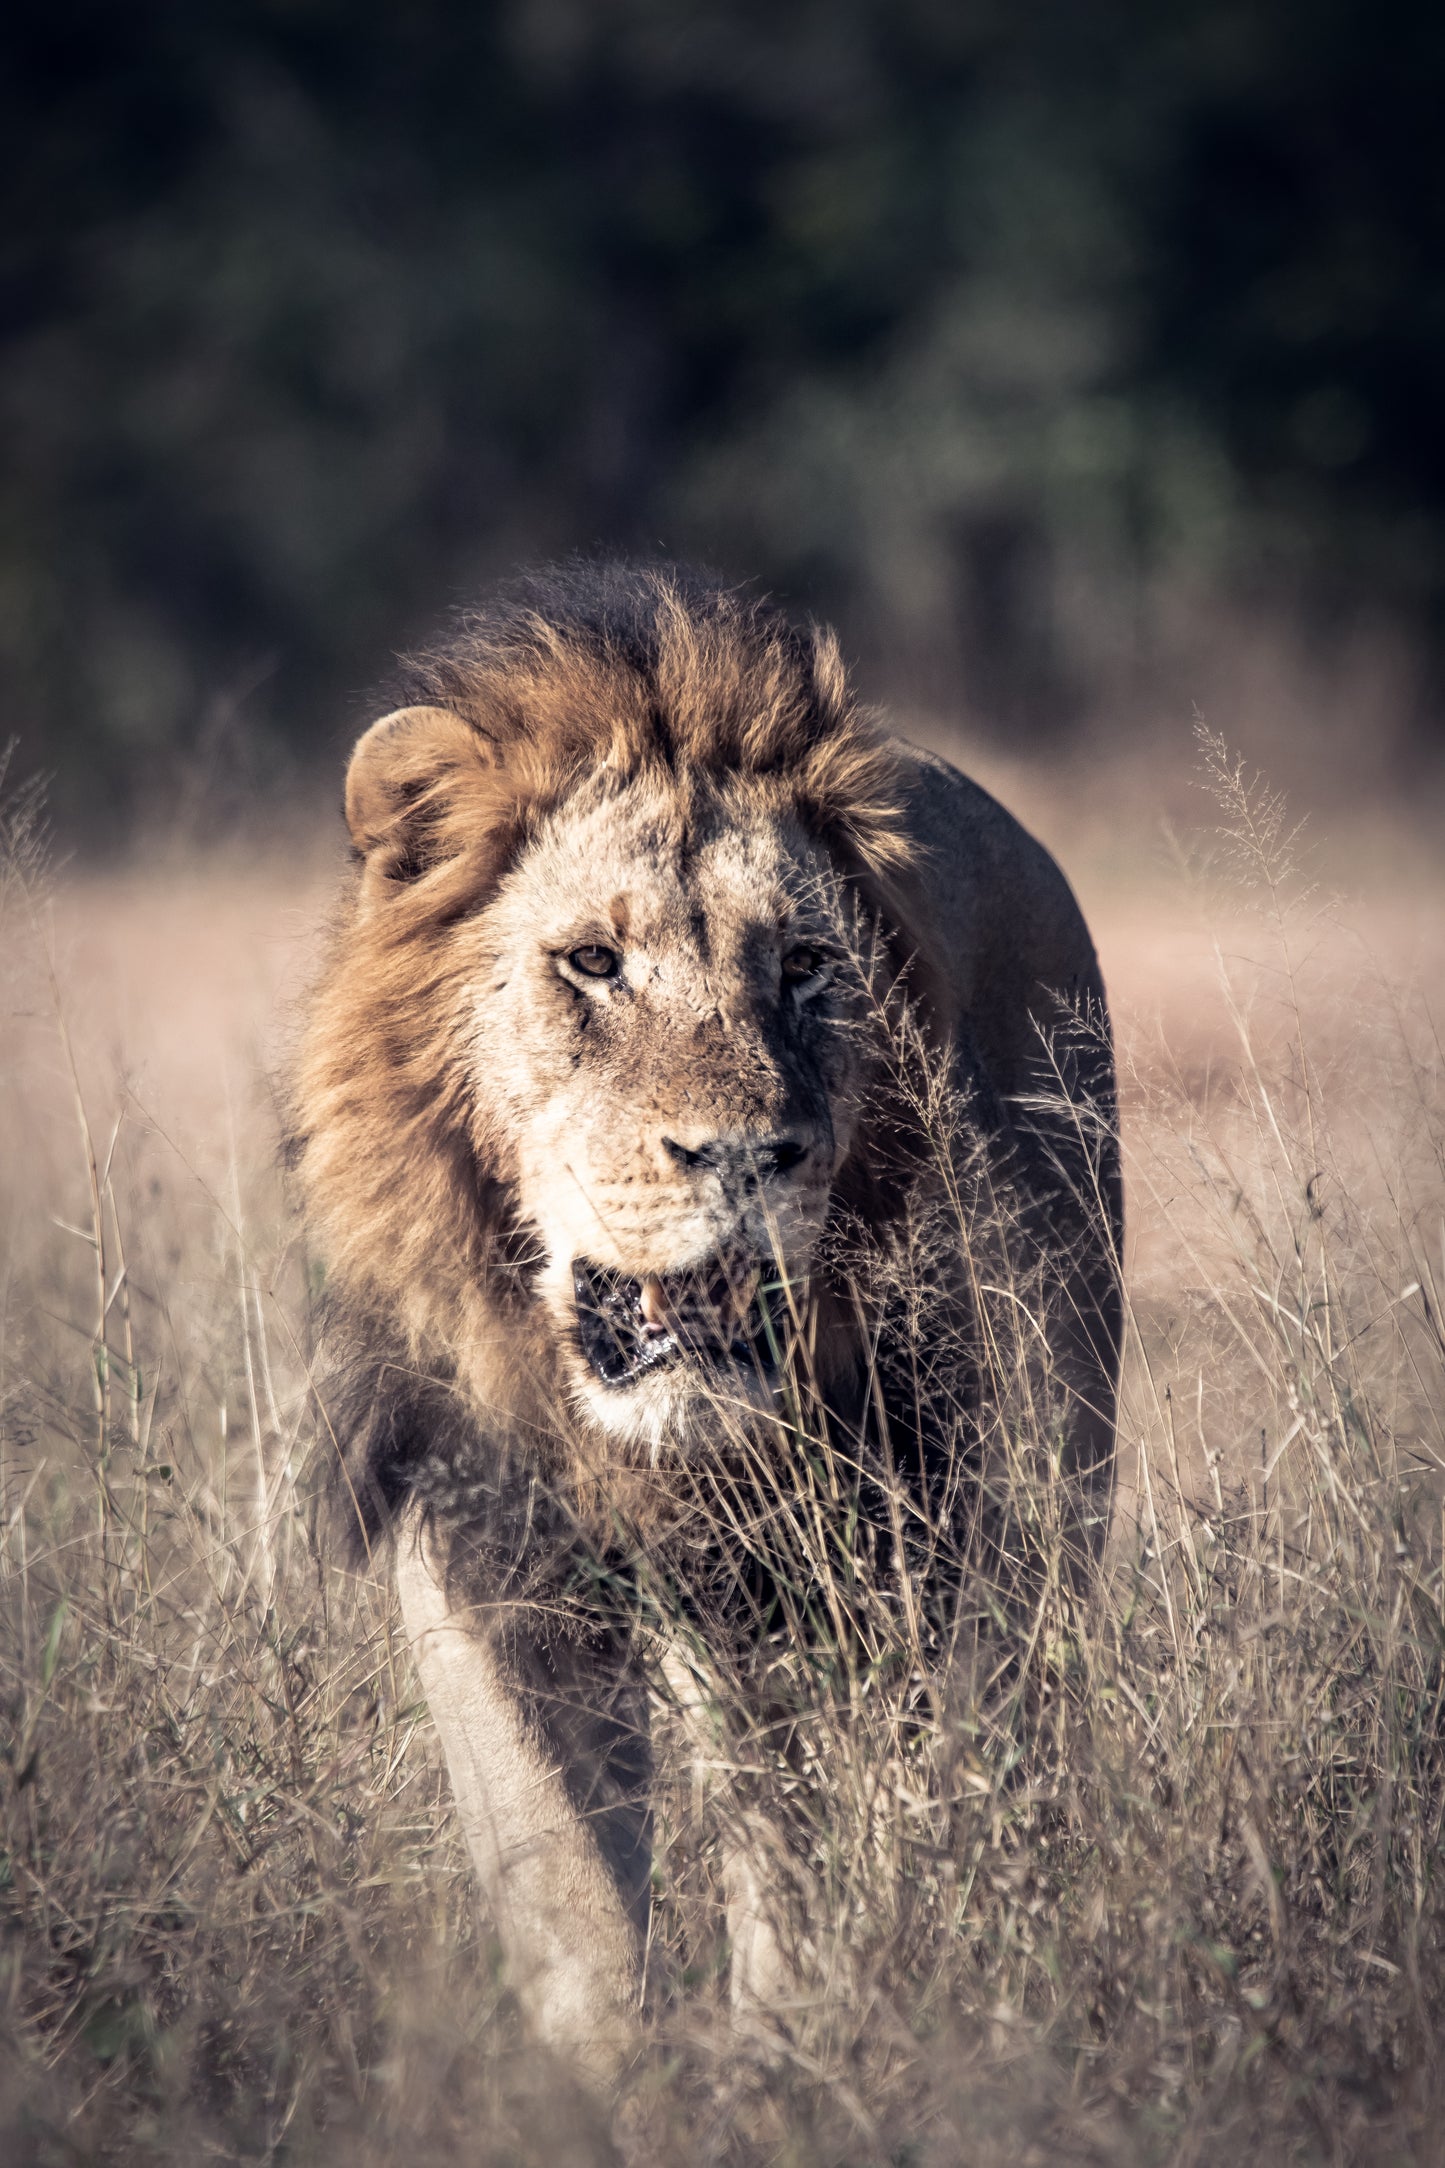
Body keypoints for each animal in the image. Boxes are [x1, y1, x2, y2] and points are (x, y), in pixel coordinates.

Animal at [292, 561, 1122, 2073]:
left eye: (803, 963)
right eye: (591, 963)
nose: (744, 1155)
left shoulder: (817, 1563)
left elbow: (813, 1830)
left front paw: (805, 2039)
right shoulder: (476, 1531)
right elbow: (559, 1867)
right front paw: (603, 2072)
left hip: (1018, 1478)